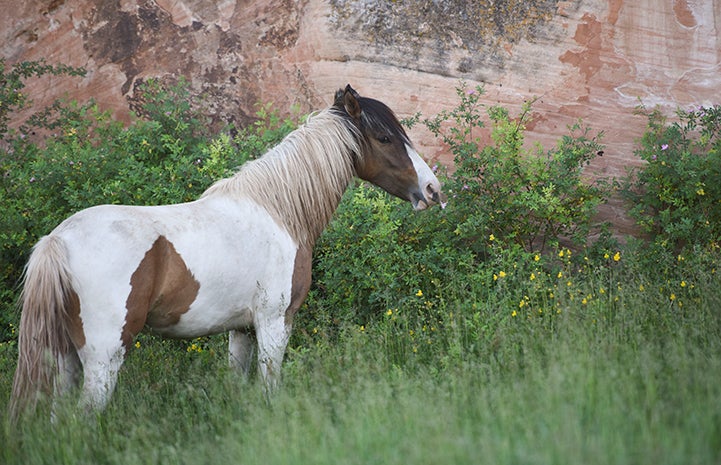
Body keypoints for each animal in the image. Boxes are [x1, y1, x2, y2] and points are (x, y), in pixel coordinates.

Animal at [9, 84, 445, 418]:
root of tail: (59, 240)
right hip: (104, 357)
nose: (432, 191)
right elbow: (270, 385)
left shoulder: (242, 330)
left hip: (63, 357)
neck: (278, 213)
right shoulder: (274, 322)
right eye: (385, 138)